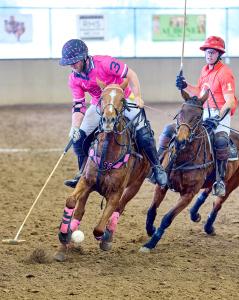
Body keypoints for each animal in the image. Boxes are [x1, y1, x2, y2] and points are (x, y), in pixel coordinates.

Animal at [55, 79, 150, 260]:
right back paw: (64, 246)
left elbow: (99, 227)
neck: (107, 155)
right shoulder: (85, 181)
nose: (108, 120)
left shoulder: (116, 193)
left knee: (119, 208)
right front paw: (64, 235)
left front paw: (103, 237)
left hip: (135, 185)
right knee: (79, 211)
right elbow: (71, 201)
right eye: (102, 97)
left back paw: (107, 237)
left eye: (122, 99)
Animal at [140, 90, 239, 252]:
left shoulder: (188, 194)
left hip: (232, 183)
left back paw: (208, 226)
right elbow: (151, 210)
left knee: (217, 203)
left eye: (198, 116)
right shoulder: (162, 185)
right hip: (214, 179)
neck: (183, 159)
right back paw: (195, 215)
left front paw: (150, 243)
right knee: (207, 192)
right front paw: (150, 230)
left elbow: (167, 218)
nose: (180, 141)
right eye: (181, 111)